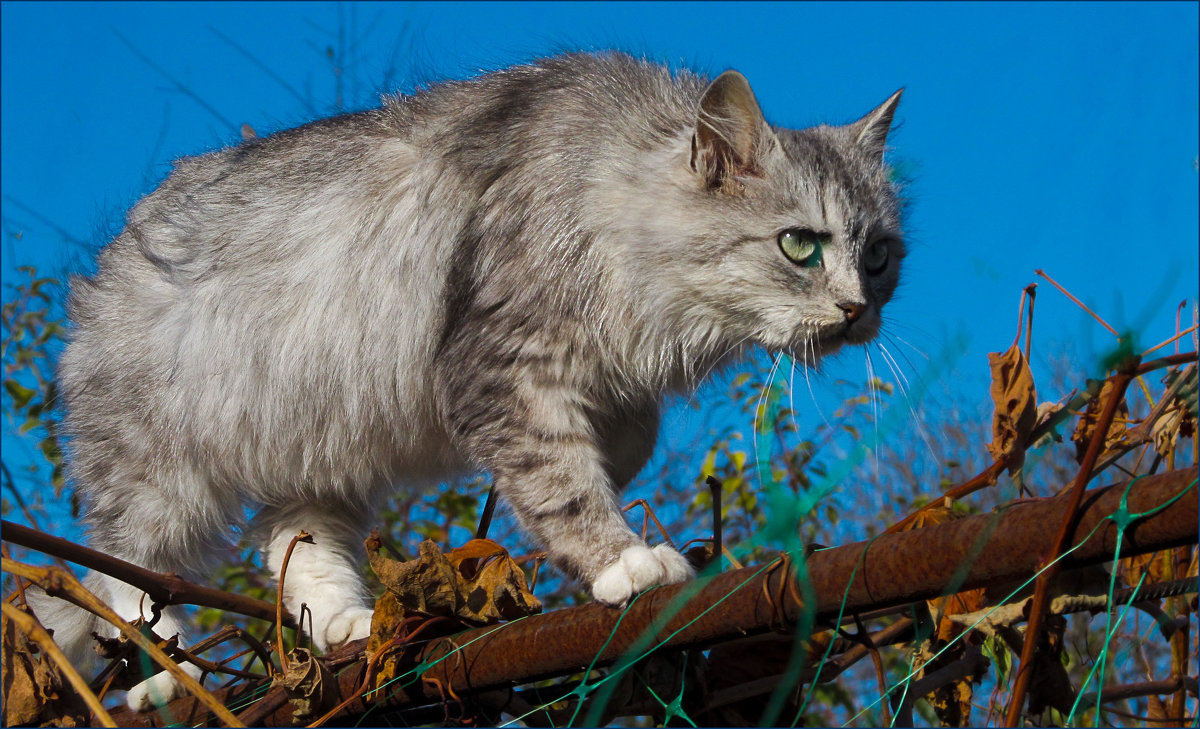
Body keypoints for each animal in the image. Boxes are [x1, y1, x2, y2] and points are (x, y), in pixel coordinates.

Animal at [30, 49, 902, 705]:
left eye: (880, 254)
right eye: (800, 246)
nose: (858, 309)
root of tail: (112, 257)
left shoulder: (597, 381)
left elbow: (616, 444)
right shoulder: (503, 363)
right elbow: (565, 480)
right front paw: (621, 560)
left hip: (315, 450)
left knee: (295, 545)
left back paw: (346, 625)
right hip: (159, 471)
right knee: (118, 566)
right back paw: (156, 668)